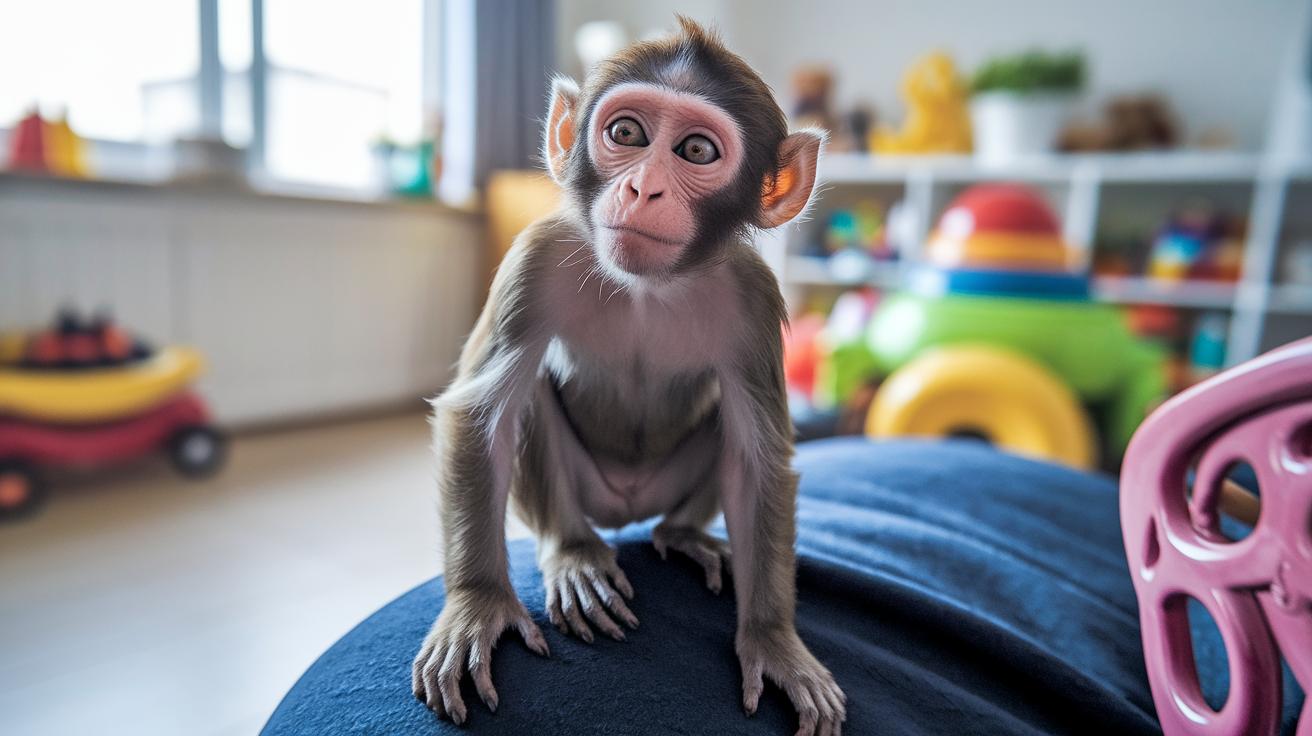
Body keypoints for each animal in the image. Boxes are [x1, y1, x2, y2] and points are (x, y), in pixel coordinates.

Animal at [412, 18, 846, 736]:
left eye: (696, 150)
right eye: (627, 134)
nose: (644, 188)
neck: (649, 287)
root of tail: (625, 510)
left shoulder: (755, 297)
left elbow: (759, 460)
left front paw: (773, 640)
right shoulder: (534, 257)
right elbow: (479, 413)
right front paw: (477, 603)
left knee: (723, 435)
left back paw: (683, 534)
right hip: (590, 493)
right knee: (529, 402)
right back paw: (575, 556)